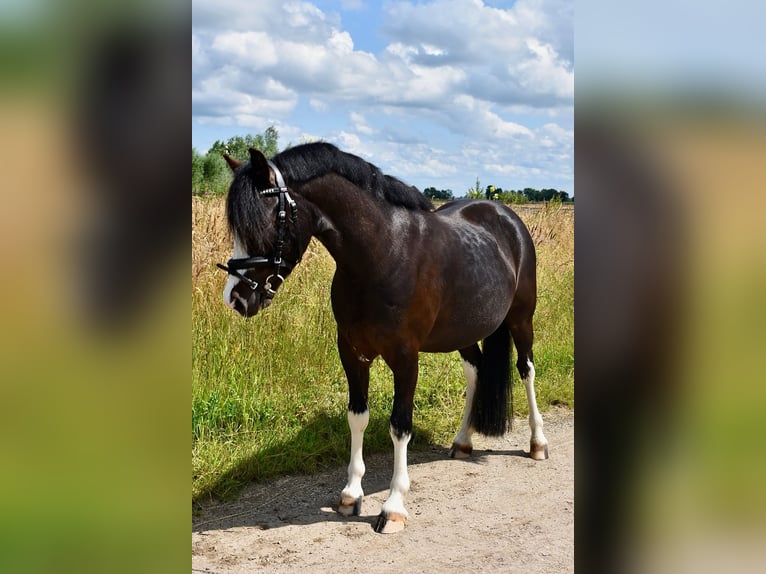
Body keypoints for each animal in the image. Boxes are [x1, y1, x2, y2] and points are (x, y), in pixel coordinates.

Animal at [219, 143, 548, 536]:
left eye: (263, 223)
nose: (236, 298)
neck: (381, 253)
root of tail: (505, 214)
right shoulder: (352, 351)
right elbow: (357, 417)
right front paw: (350, 495)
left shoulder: (405, 357)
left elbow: (399, 425)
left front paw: (393, 507)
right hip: (465, 330)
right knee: (476, 371)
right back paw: (463, 441)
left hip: (521, 318)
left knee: (526, 369)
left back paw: (538, 443)